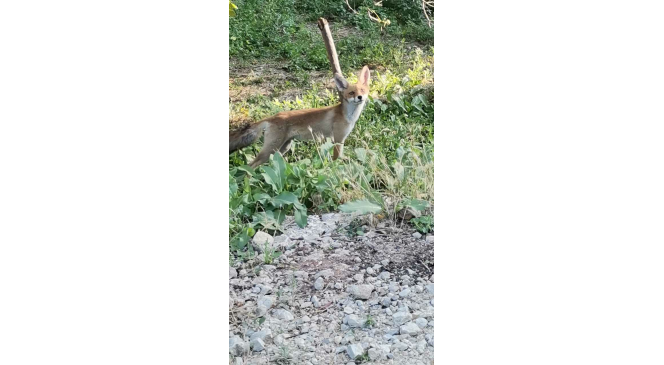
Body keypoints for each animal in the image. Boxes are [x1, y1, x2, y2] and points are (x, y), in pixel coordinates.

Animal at [231, 66, 370, 168]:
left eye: (362, 91)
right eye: (351, 92)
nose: (360, 97)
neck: (348, 116)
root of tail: (272, 117)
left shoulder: (339, 140)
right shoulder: (337, 139)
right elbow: (336, 159)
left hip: (283, 148)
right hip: (271, 149)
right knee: (250, 166)